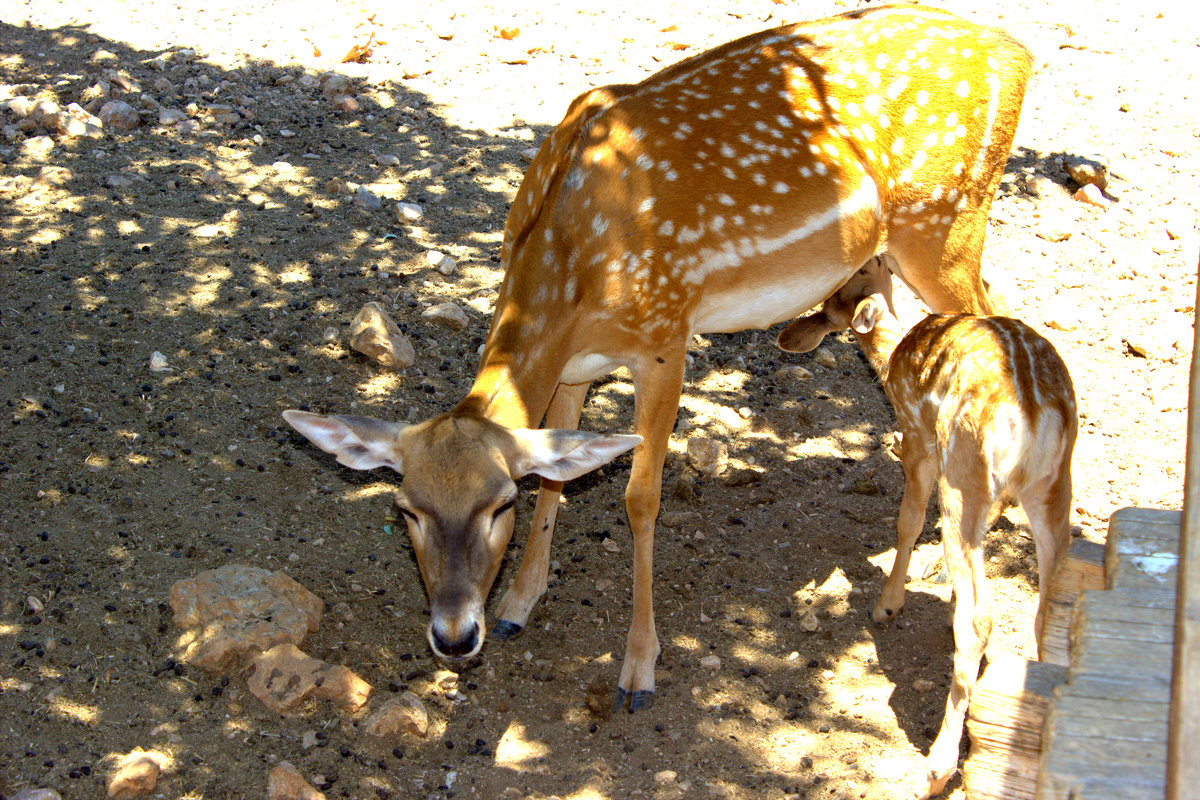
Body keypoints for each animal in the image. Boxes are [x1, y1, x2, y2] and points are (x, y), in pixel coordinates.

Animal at [280, 3, 1032, 714]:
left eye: (498, 505)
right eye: (406, 508)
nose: (456, 635)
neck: (573, 268)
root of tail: (1017, 52)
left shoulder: (668, 333)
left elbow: (640, 498)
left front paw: (638, 667)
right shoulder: (576, 365)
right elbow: (558, 473)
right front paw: (521, 603)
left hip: (945, 223)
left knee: (1000, 319)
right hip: (896, 251)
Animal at [777, 255, 1080, 796]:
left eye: (839, 290)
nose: (876, 255)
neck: (892, 355)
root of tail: (1032, 411)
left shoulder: (916, 437)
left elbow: (908, 521)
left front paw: (887, 605)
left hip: (964, 472)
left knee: (981, 615)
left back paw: (937, 769)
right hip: (1052, 485)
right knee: (1051, 598)